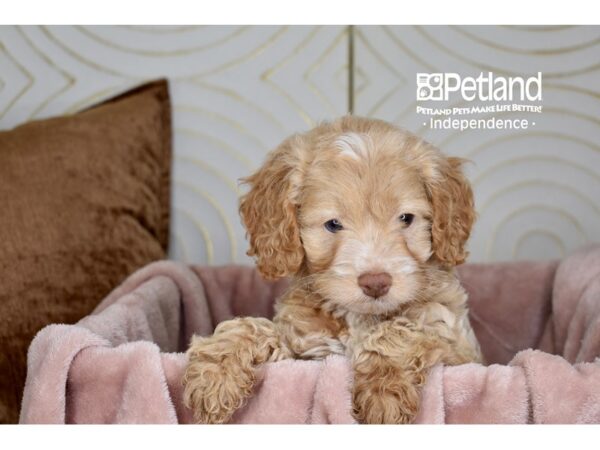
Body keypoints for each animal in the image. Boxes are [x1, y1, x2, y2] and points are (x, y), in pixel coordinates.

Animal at [182, 116, 482, 426]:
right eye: (333, 224)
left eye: (406, 218)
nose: (376, 282)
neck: (359, 318)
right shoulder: (303, 352)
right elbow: (255, 327)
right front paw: (216, 371)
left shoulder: (459, 348)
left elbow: (401, 328)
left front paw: (383, 392)